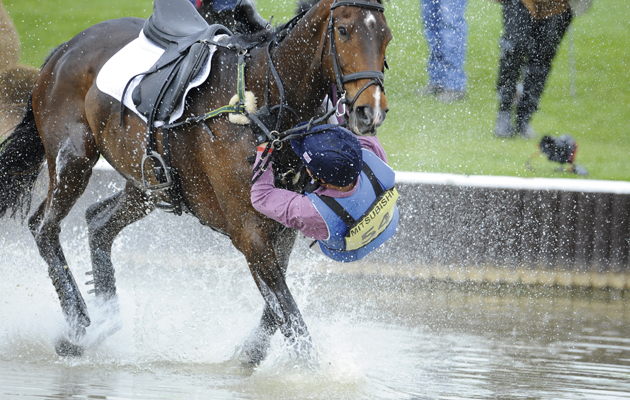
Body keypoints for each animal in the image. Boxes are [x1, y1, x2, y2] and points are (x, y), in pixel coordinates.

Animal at [0, 0, 392, 364]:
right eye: (344, 30)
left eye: (385, 36)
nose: (370, 111)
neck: (269, 99)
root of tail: (66, 47)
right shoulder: (248, 233)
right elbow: (289, 314)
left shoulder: (285, 227)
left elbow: (277, 309)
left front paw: (249, 353)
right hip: (74, 158)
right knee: (45, 228)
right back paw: (79, 325)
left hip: (145, 183)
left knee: (98, 222)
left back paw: (105, 320)